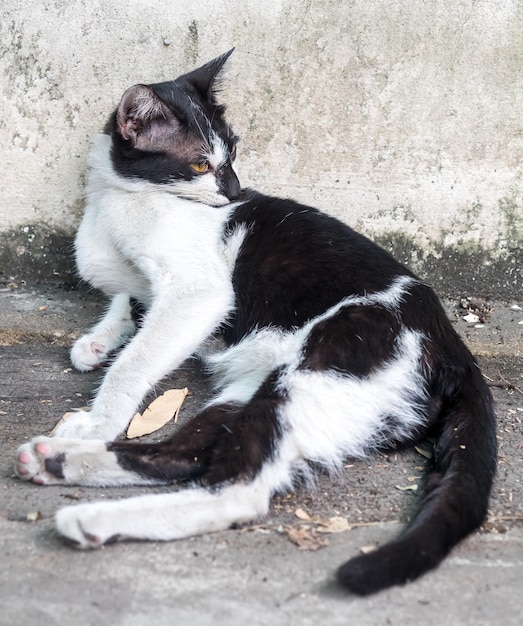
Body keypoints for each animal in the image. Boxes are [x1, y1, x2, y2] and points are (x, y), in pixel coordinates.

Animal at [15, 51, 500, 592]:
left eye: (232, 154)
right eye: (201, 164)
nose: (235, 191)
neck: (118, 198)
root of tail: (455, 349)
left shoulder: (198, 293)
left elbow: (136, 361)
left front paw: (101, 415)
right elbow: (128, 297)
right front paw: (98, 340)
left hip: (315, 369)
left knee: (237, 488)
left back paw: (90, 515)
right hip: (252, 387)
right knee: (184, 455)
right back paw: (56, 461)